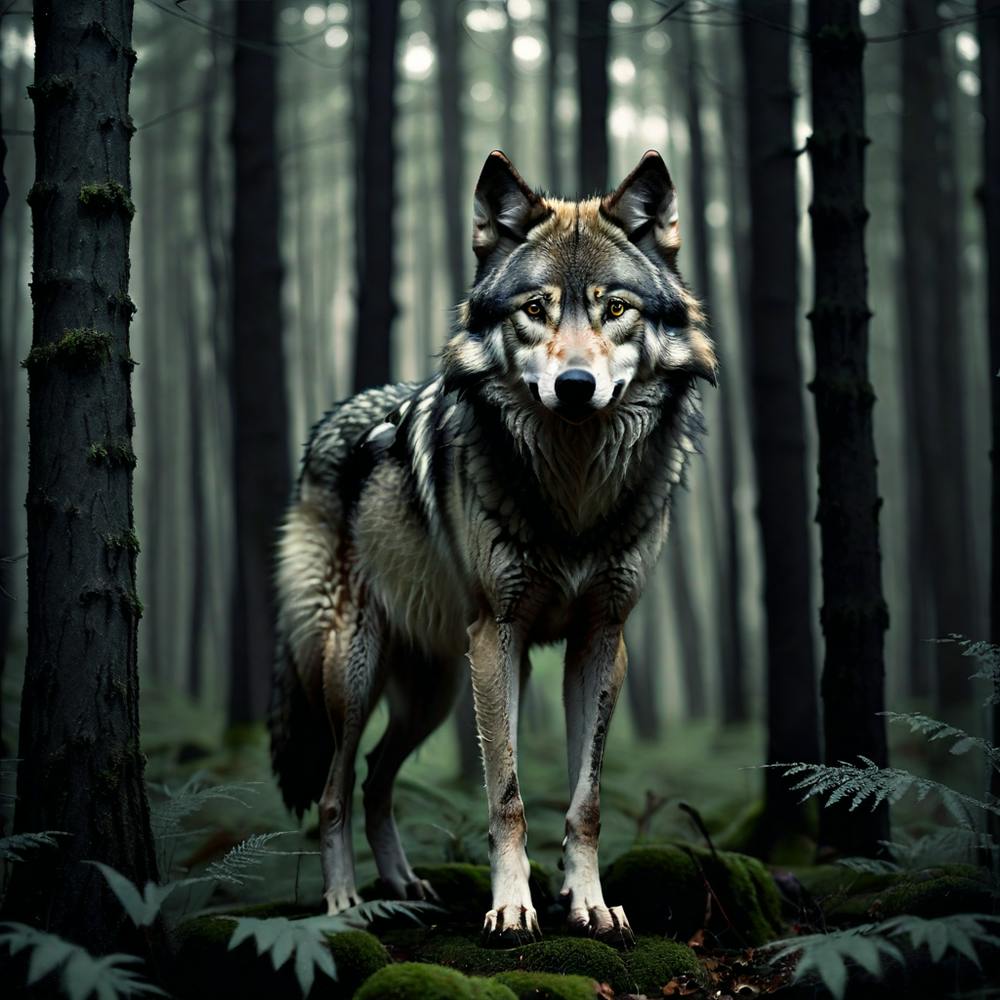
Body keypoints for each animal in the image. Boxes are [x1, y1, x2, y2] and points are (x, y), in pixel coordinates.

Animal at [268, 150, 716, 942]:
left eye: (615, 309)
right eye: (535, 309)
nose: (577, 386)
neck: (573, 494)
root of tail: (326, 430)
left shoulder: (601, 638)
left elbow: (583, 800)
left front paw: (589, 903)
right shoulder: (497, 636)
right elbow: (507, 795)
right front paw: (512, 907)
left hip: (434, 691)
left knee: (377, 777)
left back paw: (404, 883)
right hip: (359, 672)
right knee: (333, 788)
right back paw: (346, 903)